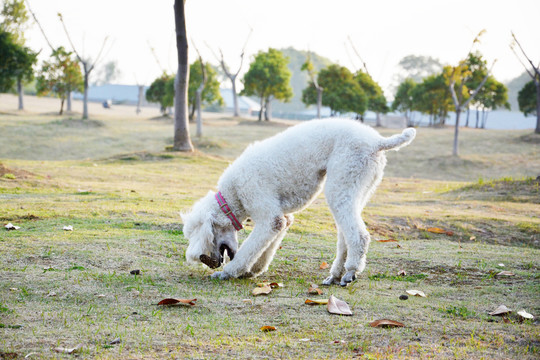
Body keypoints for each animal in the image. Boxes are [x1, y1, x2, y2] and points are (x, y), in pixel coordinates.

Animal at [184, 119, 416, 286]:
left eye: (208, 237)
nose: (209, 262)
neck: (233, 194)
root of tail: (378, 142)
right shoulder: (282, 218)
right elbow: (267, 245)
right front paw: (253, 270)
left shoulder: (267, 212)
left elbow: (252, 246)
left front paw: (230, 273)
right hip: (356, 188)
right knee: (346, 235)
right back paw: (335, 274)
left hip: (344, 180)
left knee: (359, 236)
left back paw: (350, 272)